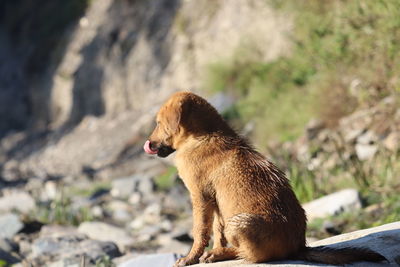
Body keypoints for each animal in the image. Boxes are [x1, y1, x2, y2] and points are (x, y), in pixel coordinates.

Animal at [144, 91, 384, 266]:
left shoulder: (200, 197)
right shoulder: (215, 203)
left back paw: (222, 254)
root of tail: (299, 247)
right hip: (233, 220)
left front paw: (190, 258)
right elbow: (216, 232)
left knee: (253, 256)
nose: (149, 144)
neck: (203, 135)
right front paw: (213, 249)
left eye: (158, 123)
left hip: (239, 222)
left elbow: (200, 232)